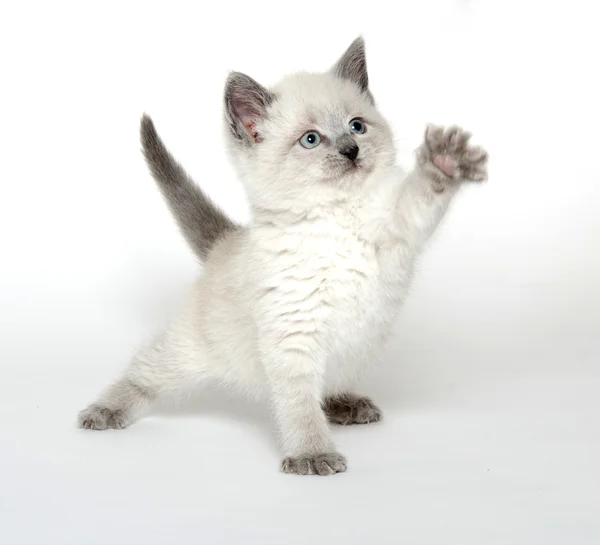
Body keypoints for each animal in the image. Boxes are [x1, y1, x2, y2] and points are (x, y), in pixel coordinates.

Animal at [78, 37, 488, 476]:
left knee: (330, 383)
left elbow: (421, 198)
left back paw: (345, 403)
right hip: (191, 348)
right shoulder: (293, 335)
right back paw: (104, 411)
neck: (333, 217)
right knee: (146, 370)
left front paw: (445, 160)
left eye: (357, 126)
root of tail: (226, 240)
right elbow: (299, 404)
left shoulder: (398, 228)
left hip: (355, 347)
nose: (351, 150)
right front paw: (312, 454)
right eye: (311, 139)